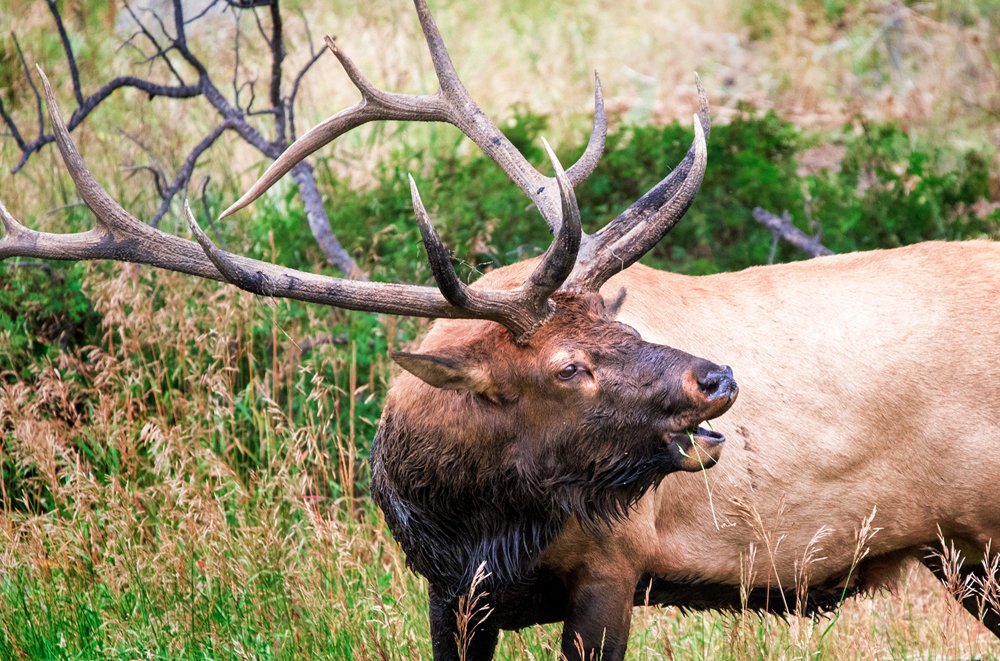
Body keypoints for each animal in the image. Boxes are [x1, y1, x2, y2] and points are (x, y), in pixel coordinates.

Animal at [2, 1, 998, 660]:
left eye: (616, 321)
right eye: (568, 364)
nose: (716, 378)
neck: (474, 519)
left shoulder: (614, 566)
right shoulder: (447, 593)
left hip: (982, 533)